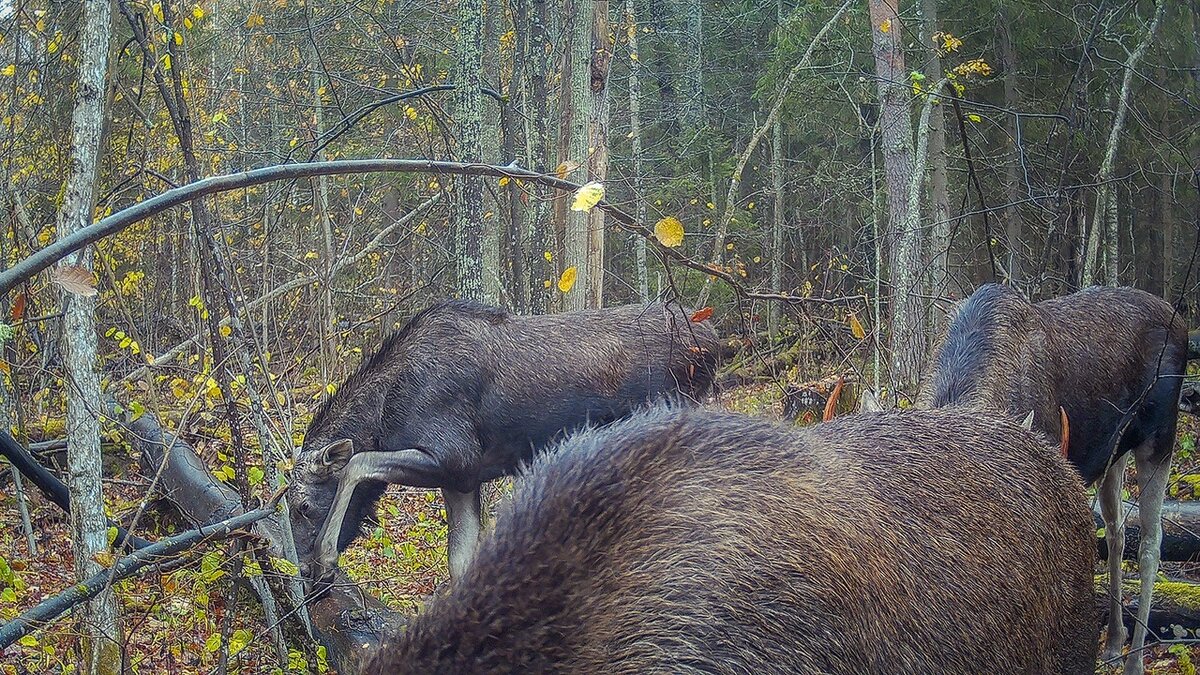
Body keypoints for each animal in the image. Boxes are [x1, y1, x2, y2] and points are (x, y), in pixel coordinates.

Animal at [288, 296, 720, 581]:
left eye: (303, 507)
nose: (303, 570)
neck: (382, 415)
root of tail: (714, 340)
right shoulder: (462, 480)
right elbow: (460, 563)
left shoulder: (454, 456)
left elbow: (356, 463)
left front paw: (326, 557)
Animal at [921, 279, 1185, 672]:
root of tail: (1178, 318)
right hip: (1114, 452)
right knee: (1118, 531)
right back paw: (1114, 641)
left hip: (1160, 437)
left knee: (1151, 544)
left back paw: (1135, 659)